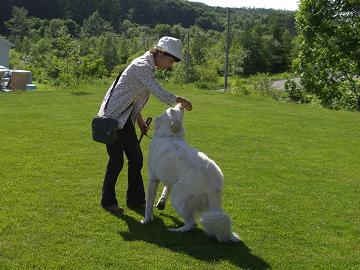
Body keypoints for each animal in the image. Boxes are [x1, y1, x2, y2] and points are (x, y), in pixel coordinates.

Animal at [142, 103, 240, 243]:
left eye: (171, 110)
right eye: (176, 110)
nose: (181, 104)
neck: (170, 136)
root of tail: (213, 183)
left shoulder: (153, 178)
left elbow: (149, 202)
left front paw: (146, 220)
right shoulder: (169, 178)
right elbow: (166, 189)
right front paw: (161, 203)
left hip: (179, 197)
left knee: (191, 224)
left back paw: (176, 230)